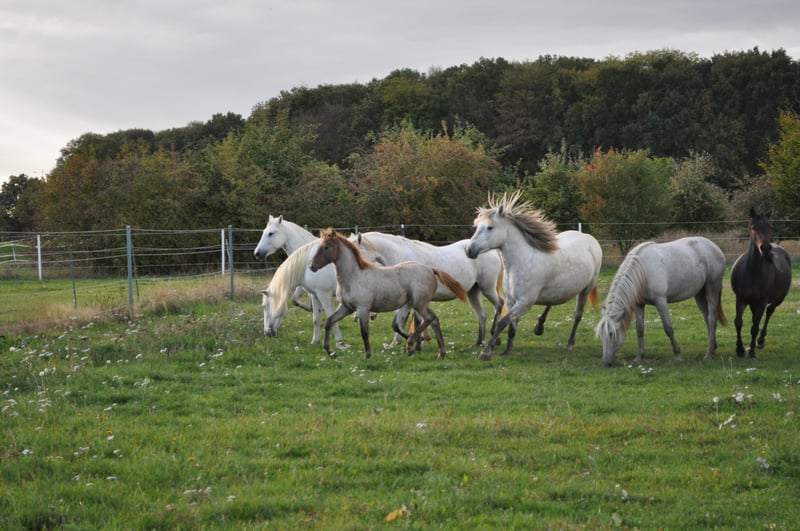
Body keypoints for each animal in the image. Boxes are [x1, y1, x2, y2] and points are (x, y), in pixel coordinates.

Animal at [309, 228, 468, 360]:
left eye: (326, 247)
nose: (311, 266)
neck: (354, 276)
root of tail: (430, 269)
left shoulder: (363, 308)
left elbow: (364, 332)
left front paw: (368, 355)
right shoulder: (346, 308)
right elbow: (329, 322)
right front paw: (330, 351)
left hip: (419, 304)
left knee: (430, 318)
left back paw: (415, 343)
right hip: (411, 304)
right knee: (431, 320)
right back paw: (439, 352)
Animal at [354, 232, 504, 346]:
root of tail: (492, 250)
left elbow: (410, 321)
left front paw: (416, 340)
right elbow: (404, 322)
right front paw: (400, 343)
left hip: (487, 288)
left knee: (499, 304)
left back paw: (494, 336)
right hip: (473, 291)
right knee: (482, 315)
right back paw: (479, 342)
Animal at [466, 190, 602, 360]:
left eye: (490, 227)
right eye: (477, 226)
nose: (469, 250)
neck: (519, 263)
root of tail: (589, 239)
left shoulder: (525, 302)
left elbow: (503, 322)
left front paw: (485, 352)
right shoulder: (511, 301)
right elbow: (511, 327)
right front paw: (507, 350)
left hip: (586, 289)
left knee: (577, 314)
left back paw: (569, 343)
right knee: (552, 302)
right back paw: (539, 327)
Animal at [595, 237, 727, 367]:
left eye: (612, 333)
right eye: (601, 335)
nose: (607, 363)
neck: (643, 271)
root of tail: (715, 248)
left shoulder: (661, 301)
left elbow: (668, 328)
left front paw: (678, 356)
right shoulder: (639, 305)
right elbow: (640, 329)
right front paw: (639, 357)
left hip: (712, 289)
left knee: (712, 320)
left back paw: (708, 355)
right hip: (699, 295)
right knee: (707, 319)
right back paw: (713, 348)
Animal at [730, 208, 792, 358]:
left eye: (770, 227)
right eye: (753, 227)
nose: (765, 248)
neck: (752, 271)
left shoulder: (762, 301)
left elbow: (755, 326)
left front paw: (751, 352)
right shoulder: (740, 298)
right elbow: (738, 322)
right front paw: (740, 350)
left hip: (778, 299)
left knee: (769, 312)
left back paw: (760, 341)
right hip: (753, 303)